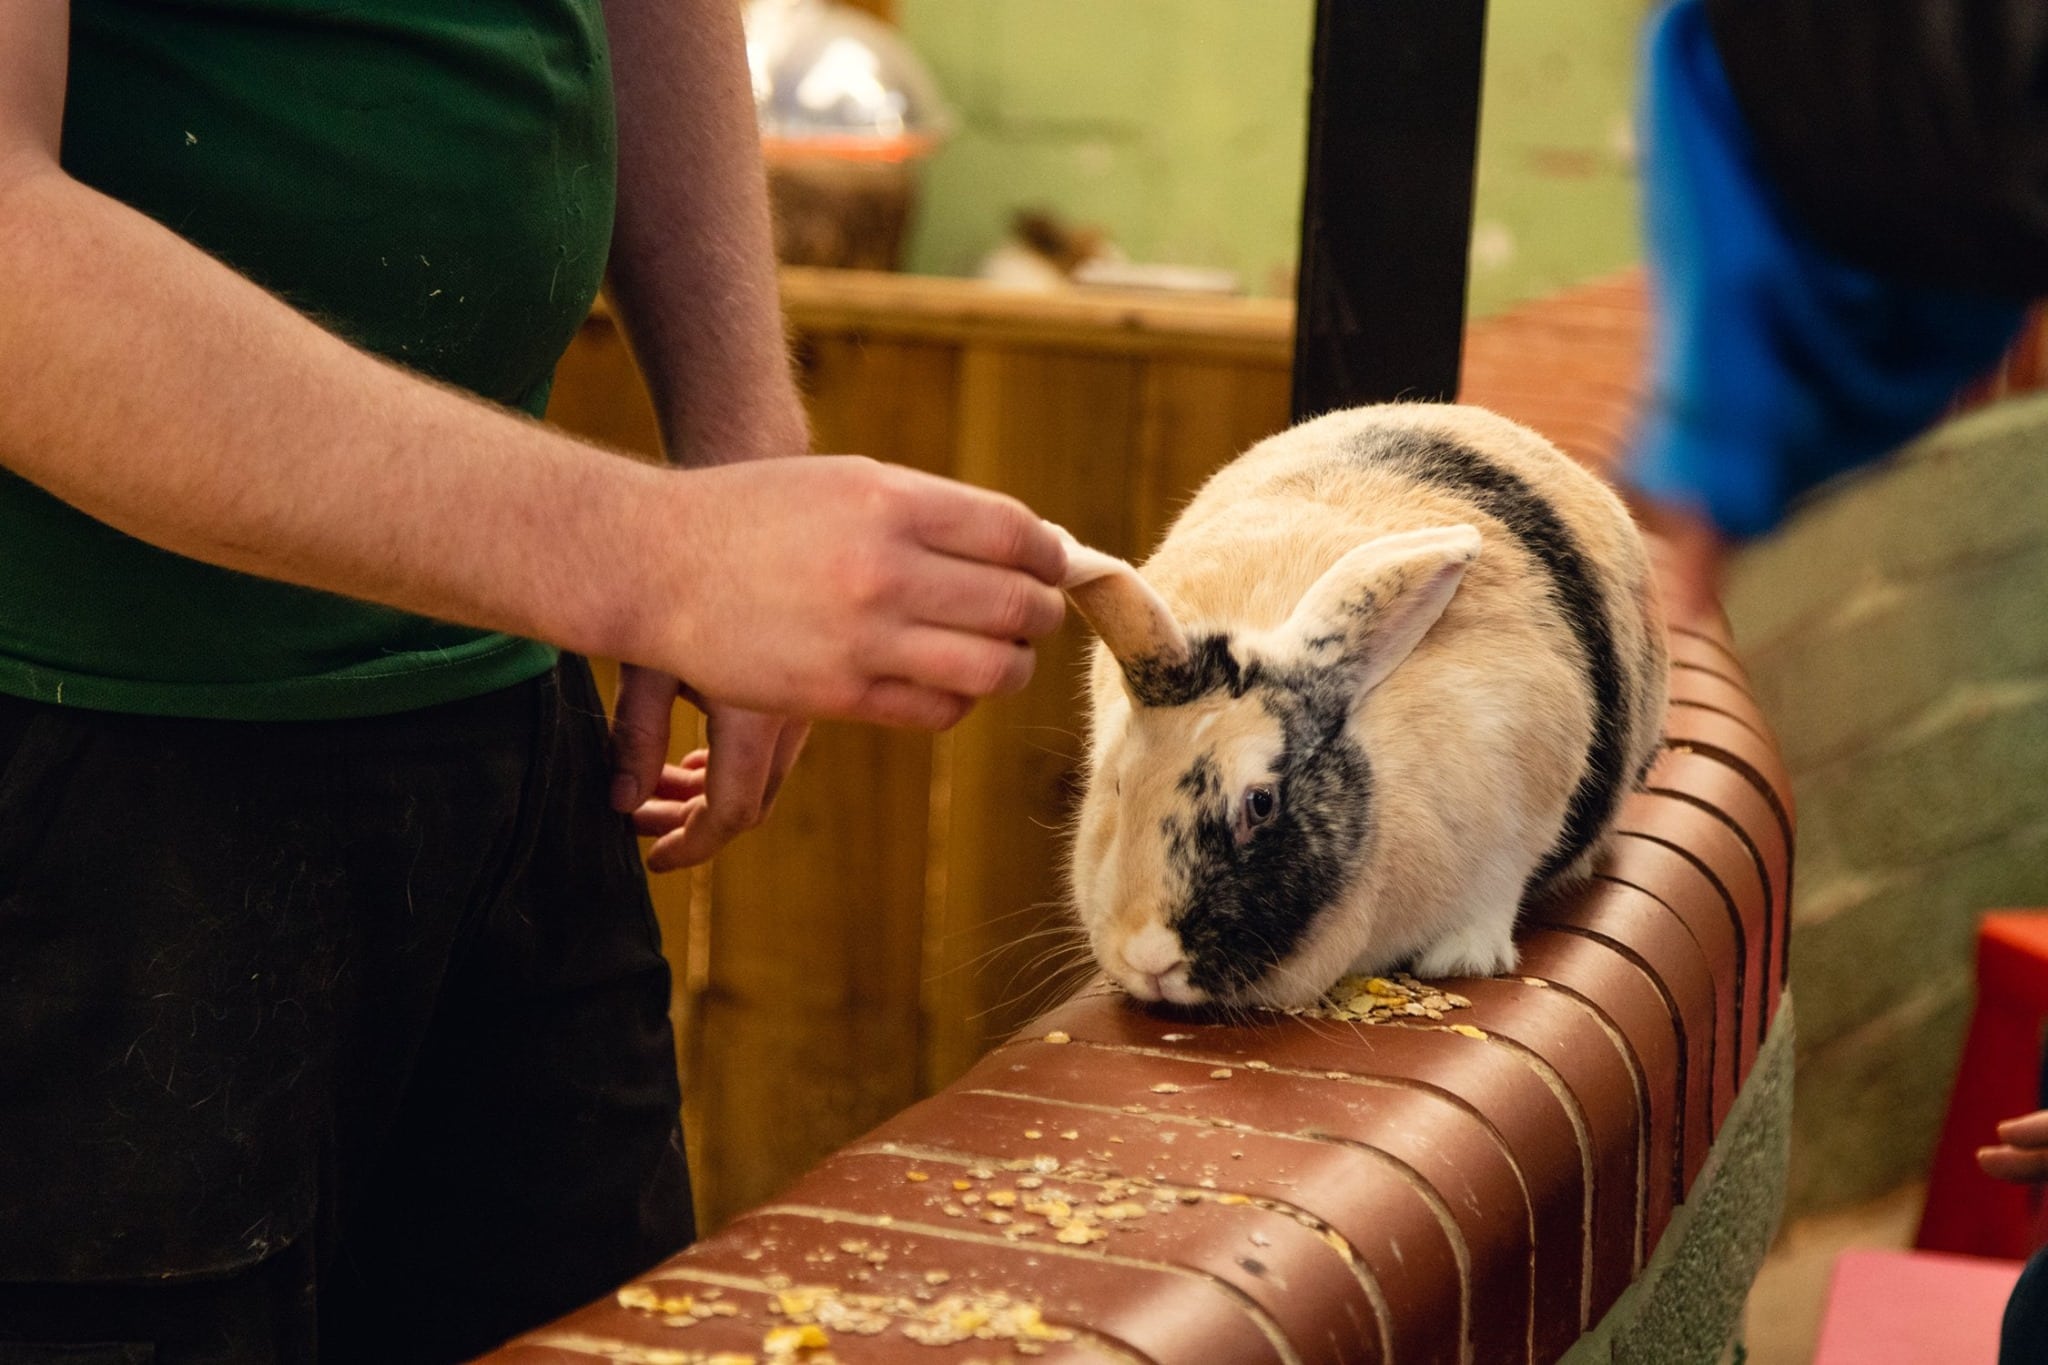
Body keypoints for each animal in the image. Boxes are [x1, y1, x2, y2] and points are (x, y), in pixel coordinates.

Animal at [1056, 401, 1662, 1010]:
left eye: (1261, 803)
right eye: (1117, 786)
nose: (1150, 958)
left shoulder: (1519, 810)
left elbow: (1495, 892)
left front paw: (1462, 959)